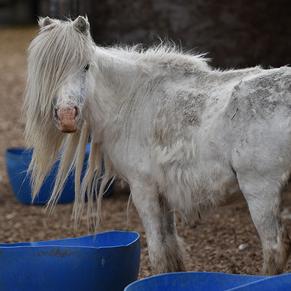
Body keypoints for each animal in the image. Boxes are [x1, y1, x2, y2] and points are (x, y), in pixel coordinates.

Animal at [24, 16, 291, 276]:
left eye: (86, 66)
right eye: (48, 70)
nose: (67, 116)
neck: (132, 100)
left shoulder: (144, 190)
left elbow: (158, 253)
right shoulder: (165, 194)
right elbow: (171, 248)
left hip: (260, 192)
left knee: (273, 251)